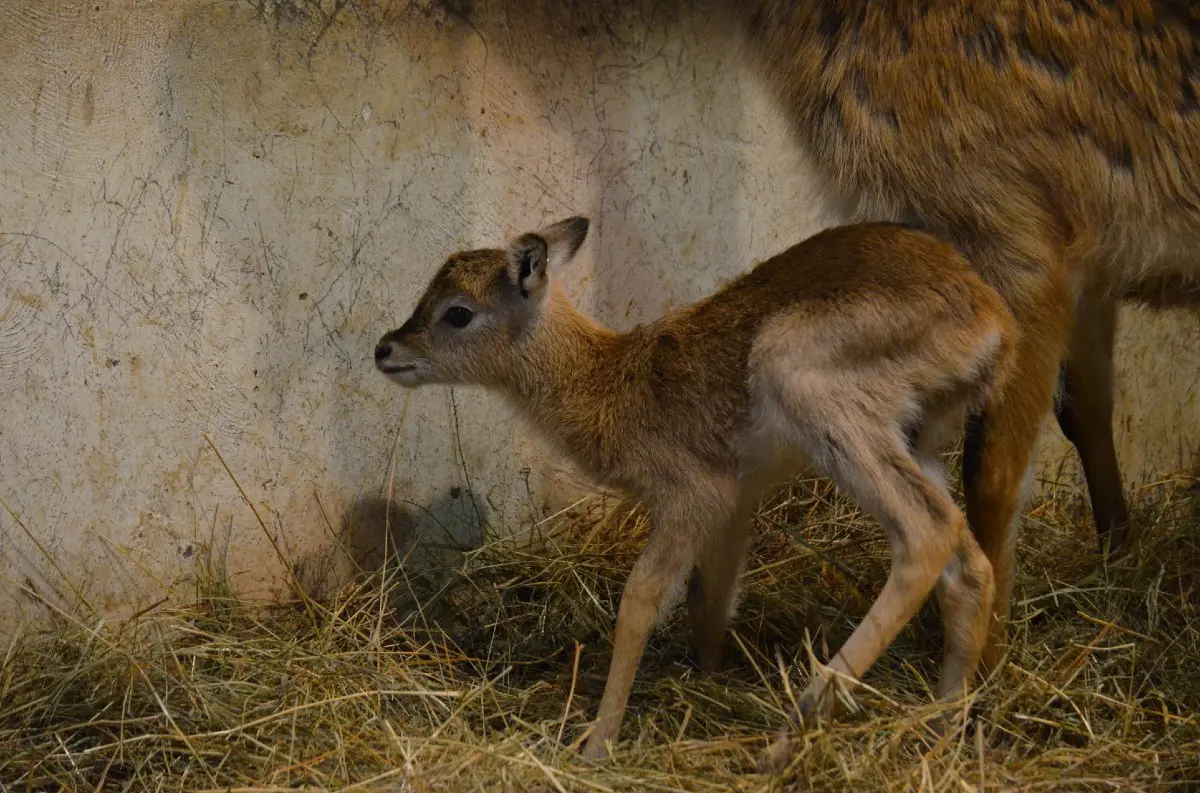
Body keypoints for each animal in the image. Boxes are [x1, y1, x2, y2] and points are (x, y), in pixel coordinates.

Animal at [372, 218, 1012, 767]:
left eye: (458, 312)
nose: (385, 349)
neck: (613, 387)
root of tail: (990, 320)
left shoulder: (692, 496)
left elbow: (640, 600)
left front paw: (596, 745)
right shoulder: (735, 501)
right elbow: (712, 595)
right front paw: (708, 679)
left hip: (814, 392)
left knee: (926, 533)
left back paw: (789, 735)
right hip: (916, 438)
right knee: (969, 564)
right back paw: (938, 737)